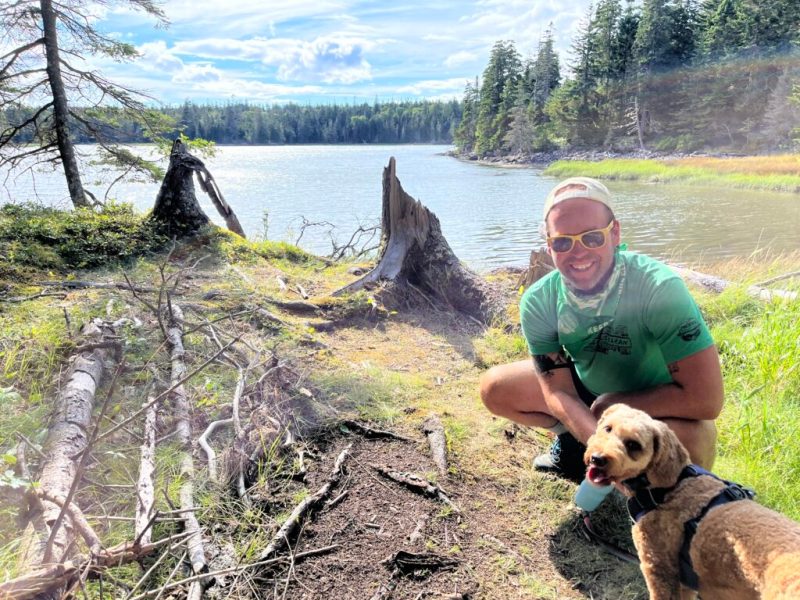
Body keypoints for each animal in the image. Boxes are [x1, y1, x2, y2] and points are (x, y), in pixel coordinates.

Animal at [580, 404, 800, 600]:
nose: (597, 458)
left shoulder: (659, 568)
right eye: (607, 428)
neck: (669, 488)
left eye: (633, 445)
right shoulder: (684, 581)